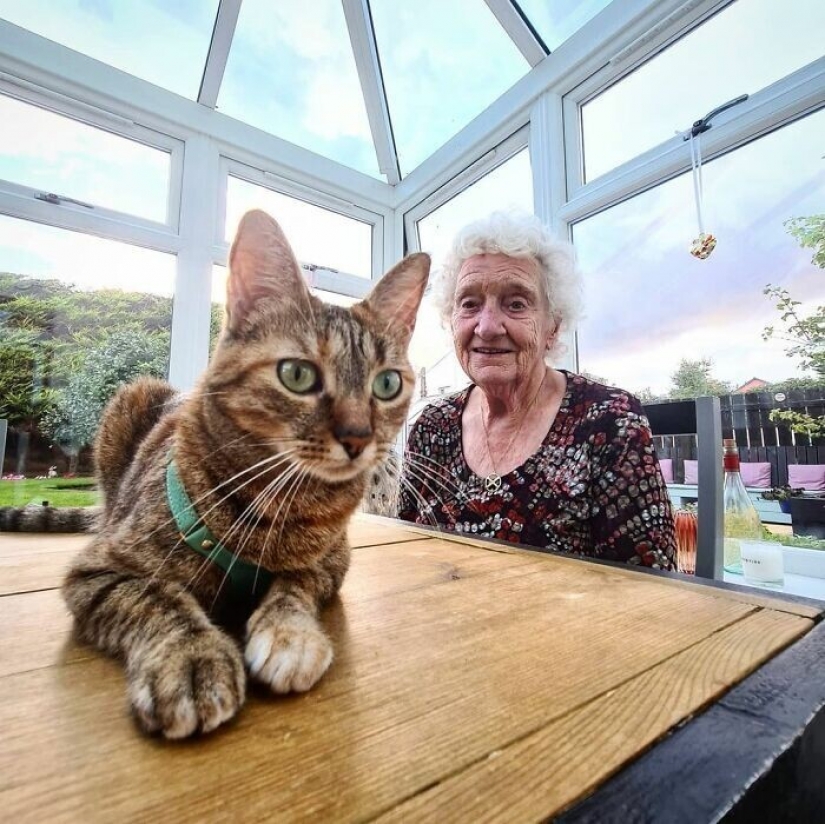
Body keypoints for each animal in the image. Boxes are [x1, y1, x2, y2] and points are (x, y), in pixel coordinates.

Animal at [61, 209, 428, 736]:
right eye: (297, 374)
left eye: (387, 384)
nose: (359, 437)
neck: (281, 504)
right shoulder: (100, 568)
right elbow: (157, 598)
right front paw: (191, 658)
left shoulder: (331, 561)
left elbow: (294, 585)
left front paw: (290, 634)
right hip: (130, 402)